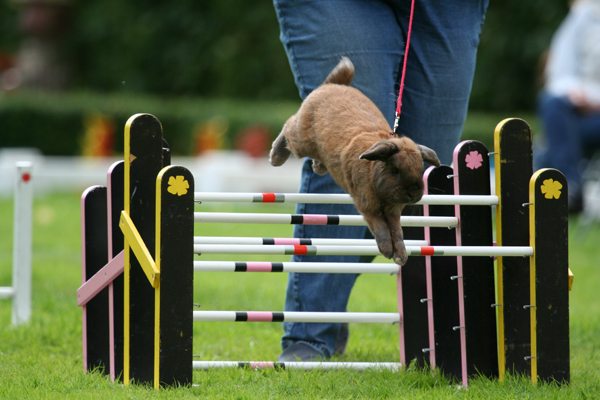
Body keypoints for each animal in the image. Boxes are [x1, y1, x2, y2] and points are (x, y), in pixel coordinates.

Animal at [270, 55, 438, 262]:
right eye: (395, 170)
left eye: (421, 168)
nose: (414, 193)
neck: (373, 171)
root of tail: (332, 85)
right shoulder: (367, 204)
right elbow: (380, 227)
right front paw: (387, 250)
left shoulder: (393, 211)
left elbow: (396, 231)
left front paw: (401, 255)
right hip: (302, 139)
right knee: (288, 128)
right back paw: (275, 157)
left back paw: (317, 166)